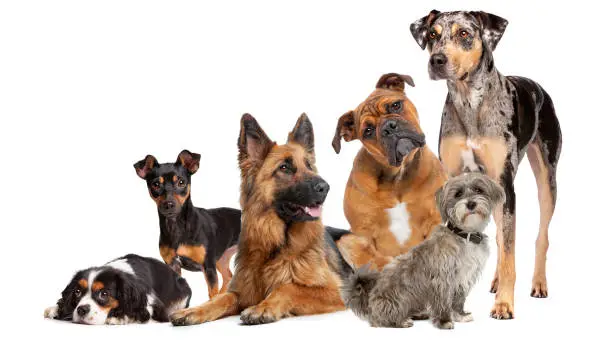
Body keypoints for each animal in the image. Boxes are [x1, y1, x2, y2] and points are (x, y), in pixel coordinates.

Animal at [169, 114, 388, 326]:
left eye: (309, 166)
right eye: (284, 168)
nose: (325, 187)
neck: (277, 244)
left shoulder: (335, 289)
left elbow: (288, 287)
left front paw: (263, 308)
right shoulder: (243, 290)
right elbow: (222, 298)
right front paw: (193, 310)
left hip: (347, 244)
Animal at [332, 74, 448, 256]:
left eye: (395, 105)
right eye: (368, 131)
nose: (389, 128)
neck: (397, 175)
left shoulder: (433, 220)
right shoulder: (363, 233)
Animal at [408, 10, 560, 320]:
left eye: (464, 34)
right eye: (432, 34)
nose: (437, 60)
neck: (469, 103)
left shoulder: (506, 185)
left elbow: (511, 252)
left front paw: (504, 305)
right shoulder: (454, 181)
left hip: (547, 181)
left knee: (541, 235)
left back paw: (538, 283)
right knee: (502, 239)